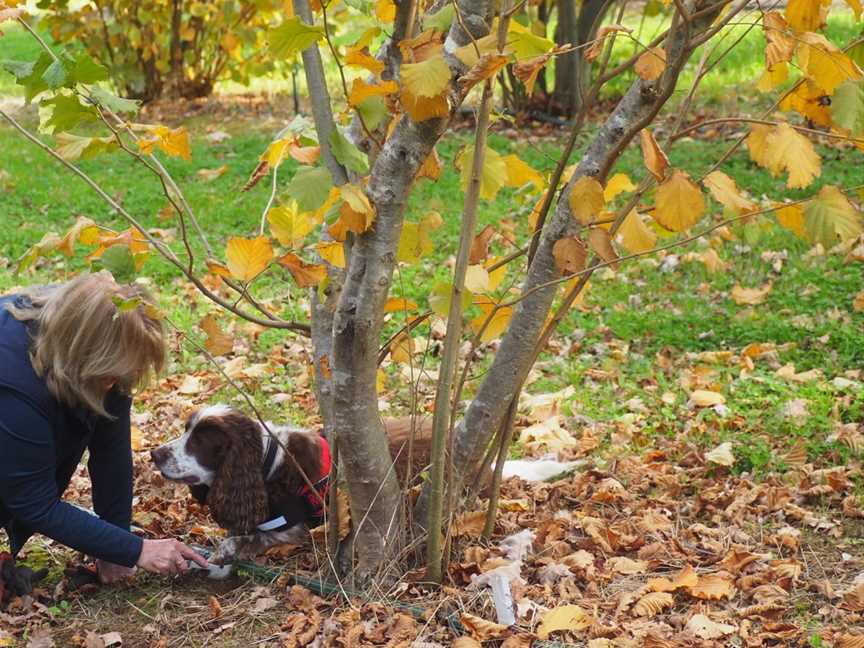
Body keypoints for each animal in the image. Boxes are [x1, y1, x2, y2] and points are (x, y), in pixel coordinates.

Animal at [152, 402, 432, 564]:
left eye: (199, 442)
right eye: (186, 430)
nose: (154, 454)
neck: (266, 465)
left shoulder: (292, 529)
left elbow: (252, 537)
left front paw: (227, 550)